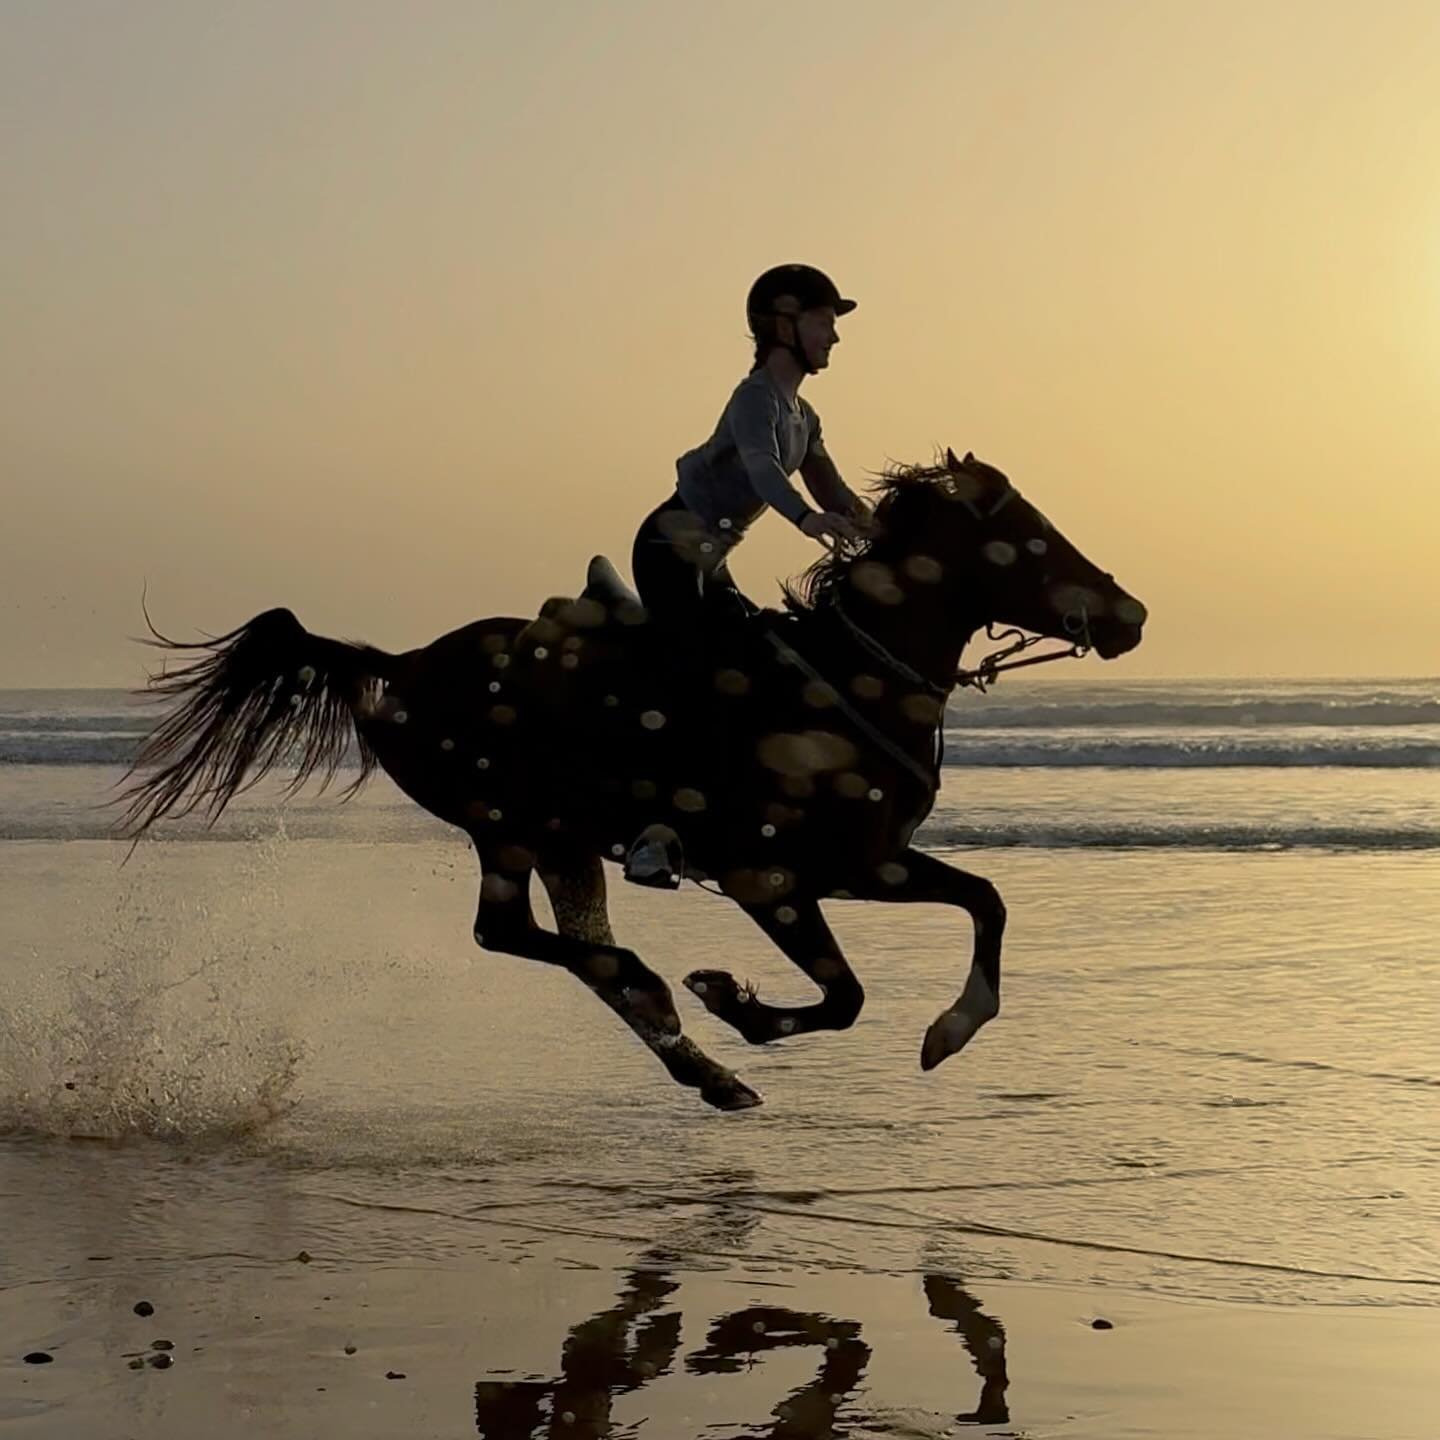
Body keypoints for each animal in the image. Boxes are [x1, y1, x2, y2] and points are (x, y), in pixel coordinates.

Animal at [118, 449, 1146, 1111]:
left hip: (561, 840)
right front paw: (731, 999)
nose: (1130, 614)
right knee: (515, 936)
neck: (853, 675)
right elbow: (847, 995)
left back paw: (702, 1065)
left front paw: (950, 1030)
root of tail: (401, 664)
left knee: (564, 942)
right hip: (507, 821)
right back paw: (668, 1000)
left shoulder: (866, 864)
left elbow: (984, 900)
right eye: (1032, 537)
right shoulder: (769, 878)